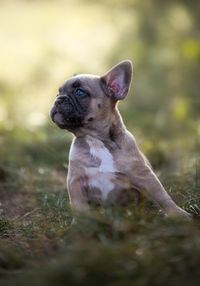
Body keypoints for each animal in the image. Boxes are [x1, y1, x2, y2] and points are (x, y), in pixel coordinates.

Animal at [50, 60, 191, 219]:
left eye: (80, 92)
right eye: (59, 92)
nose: (57, 100)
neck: (95, 139)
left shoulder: (145, 176)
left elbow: (162, 196)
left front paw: (178, 214)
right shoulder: (75, 181)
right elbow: (79, 206)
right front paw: (82, 223)